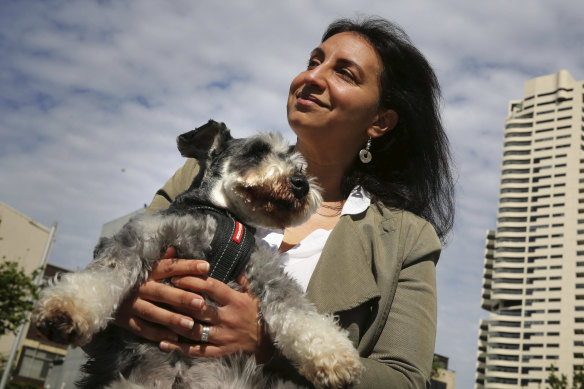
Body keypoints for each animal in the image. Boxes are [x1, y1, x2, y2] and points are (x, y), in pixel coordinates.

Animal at [32, 119, 362, 386]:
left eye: (302, 167)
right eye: (256, 150)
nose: (301, 184)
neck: (220, 216)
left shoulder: (266, 273)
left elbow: (299, 312)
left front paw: (334, 356)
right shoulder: (140, 238)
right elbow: (105, 272)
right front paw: (64, 309)